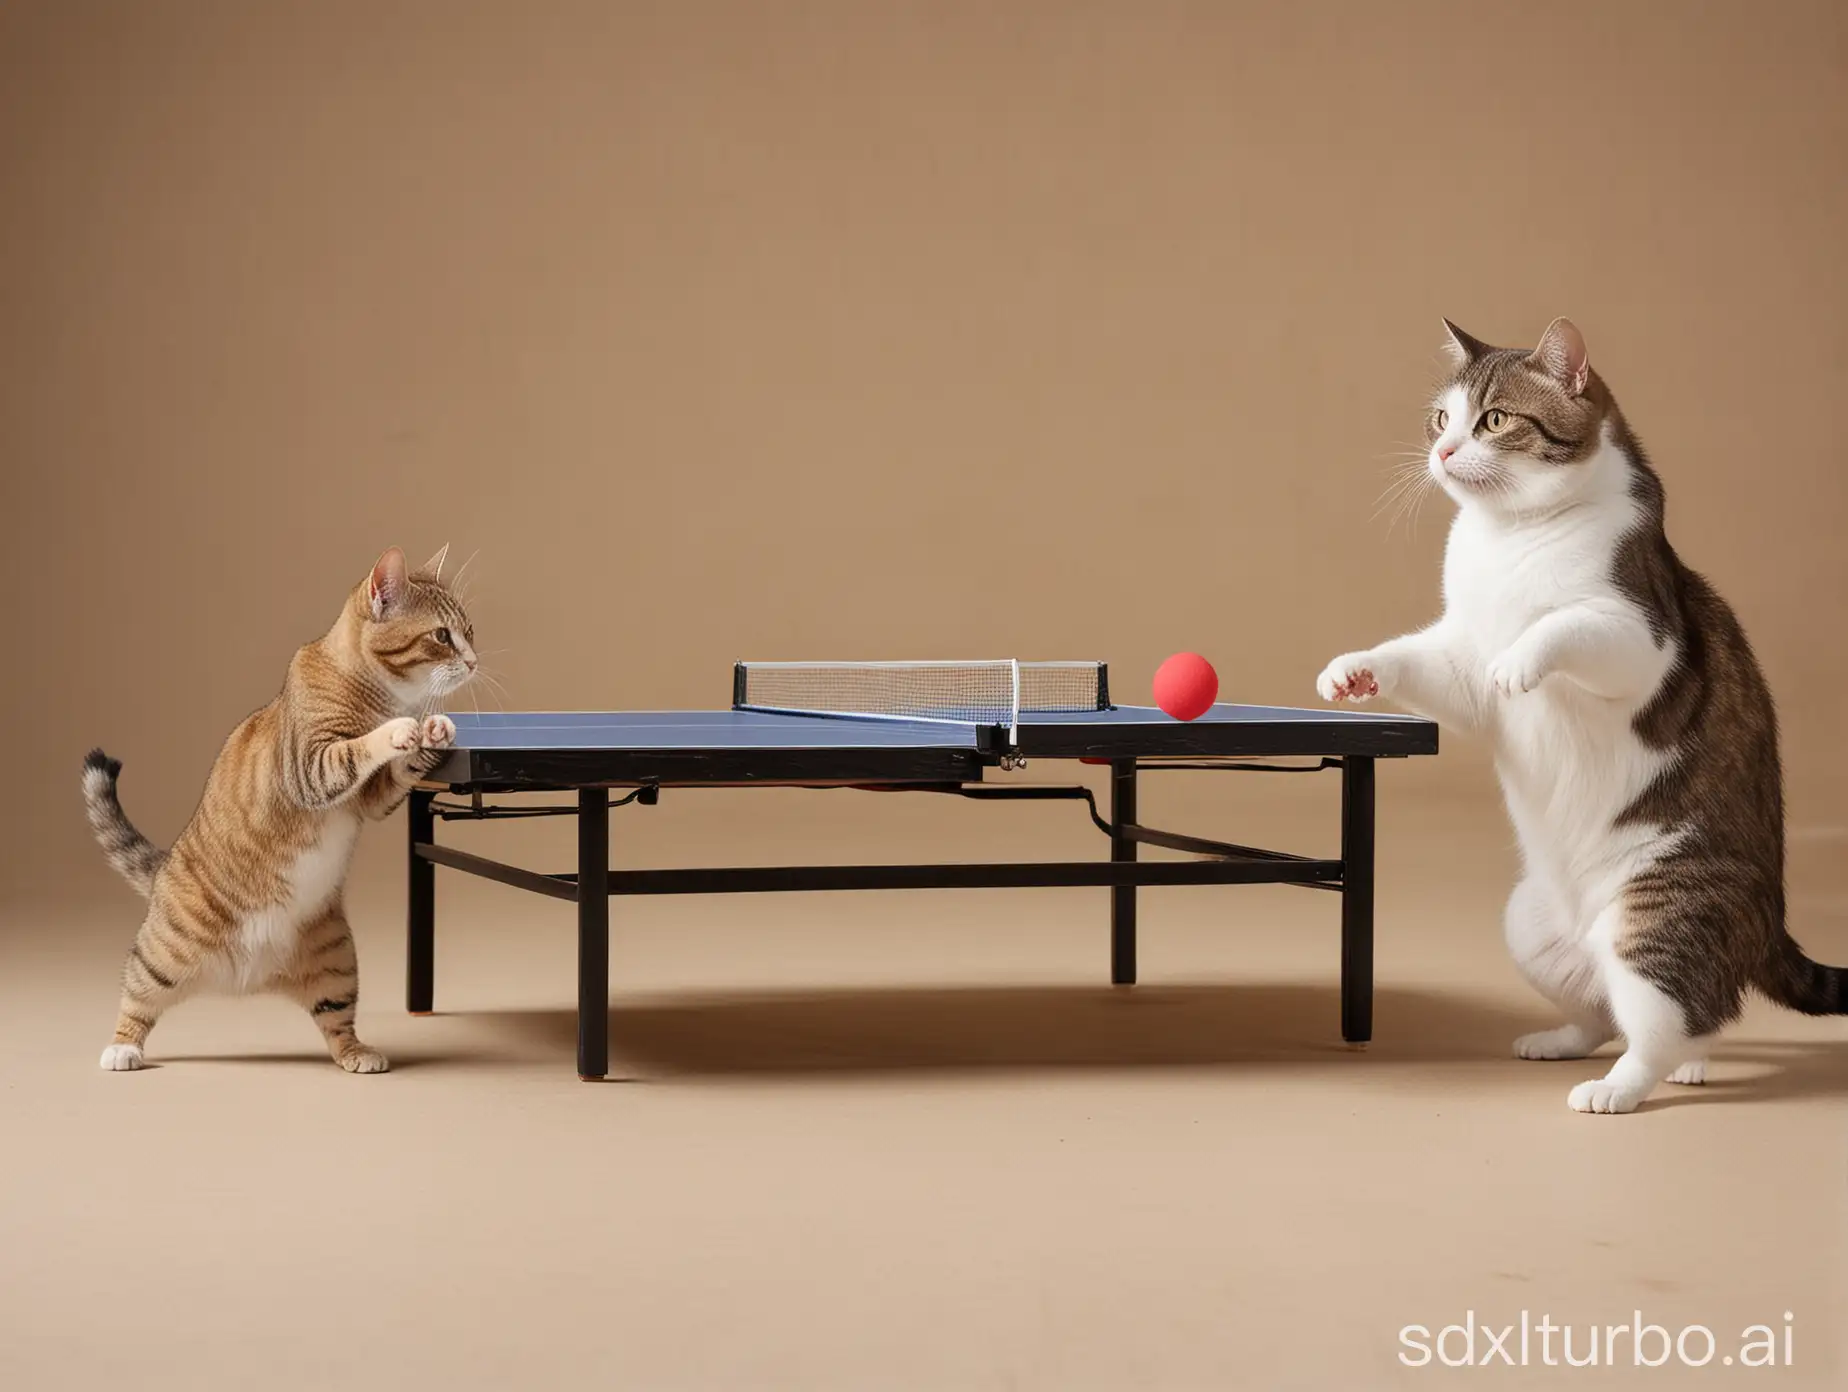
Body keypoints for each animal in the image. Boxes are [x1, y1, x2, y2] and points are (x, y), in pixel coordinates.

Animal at [85, 543, 476, 1072]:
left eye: (469, 631)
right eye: (441, 635)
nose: (474, 660)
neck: (374, 692)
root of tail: (245, 980)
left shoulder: (371, 799)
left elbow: (397, 771)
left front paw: (433, 732)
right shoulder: (310, 768)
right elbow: (358, 746)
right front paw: (398, 730)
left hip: (337, 959)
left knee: (336, 1022)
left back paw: (358, 1053)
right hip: (165, 952)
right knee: (137, 992)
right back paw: (122, 1047)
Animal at [1323, 319, 1840, 1116]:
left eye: (1494, 420)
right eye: (1442, 419)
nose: (1442, 452)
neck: (1504, 542)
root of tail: (1769, 923)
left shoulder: (1640, 634)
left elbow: (1562, 624)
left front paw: (1523, 659)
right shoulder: (1459, 660)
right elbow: (1417, 660)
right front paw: (1354, 670)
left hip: (1653, 917)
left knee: (1665, 1024)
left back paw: (1621, 1087)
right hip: (1530, 923)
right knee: (1622, 1012)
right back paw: (1568, 1043)